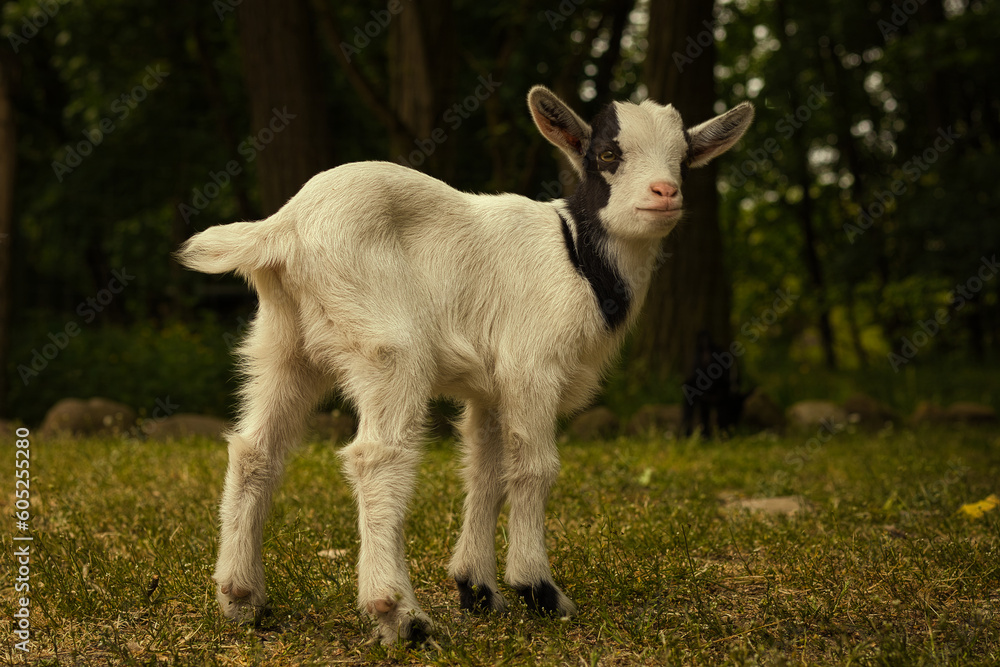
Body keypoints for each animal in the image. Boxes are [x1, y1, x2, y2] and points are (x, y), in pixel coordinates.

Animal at [176, 86, 753, 644]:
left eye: (683, 160)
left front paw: (477, 589)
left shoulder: (491, 389)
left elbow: (486, 470)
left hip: (283, 345)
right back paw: (400, 615)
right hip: (386, 344)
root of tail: (286, 228)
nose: (665, 193)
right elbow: (534, 467)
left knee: (256, 450)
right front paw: (538, 590)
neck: (579, 259)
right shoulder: (531, 366)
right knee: (377, 456)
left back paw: (242, 599)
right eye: (608, 154)